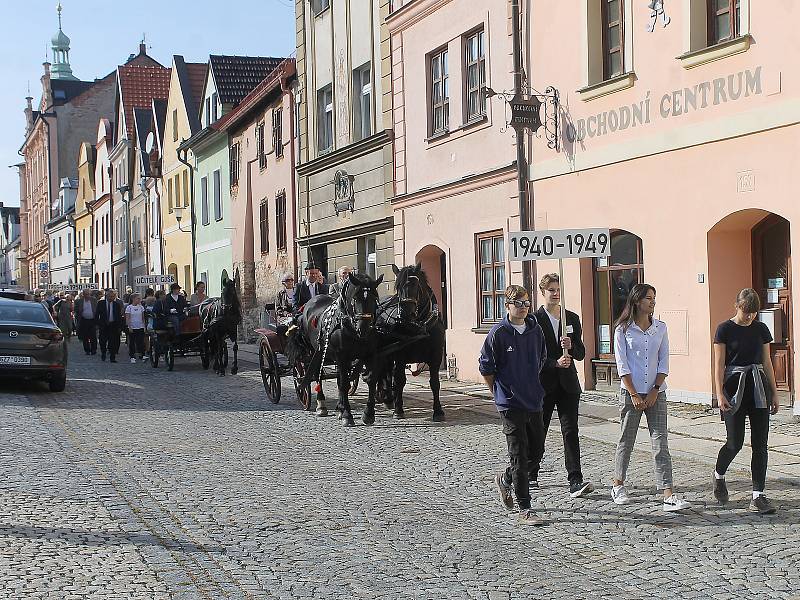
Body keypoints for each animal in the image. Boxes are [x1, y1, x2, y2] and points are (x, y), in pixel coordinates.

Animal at [288, 272, 384, 426]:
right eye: (355, 299)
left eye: (374, 298)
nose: (363, 329)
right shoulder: (341, 356)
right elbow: (344, 383)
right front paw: (347, 414)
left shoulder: (370, 354)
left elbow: (370, 380)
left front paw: (368, 414)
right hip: (314, 352)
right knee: (317, 374)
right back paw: (321, 405)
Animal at [372, 262, 446, 422]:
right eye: (398, 287)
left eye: (415, 285)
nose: (406, 314)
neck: (419, 325)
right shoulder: (400, 356)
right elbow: (400, 381)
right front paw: (399, 410)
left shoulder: (436, 357)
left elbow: (435, 383)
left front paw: (438, 411)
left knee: (386, 373)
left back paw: (388, 399)